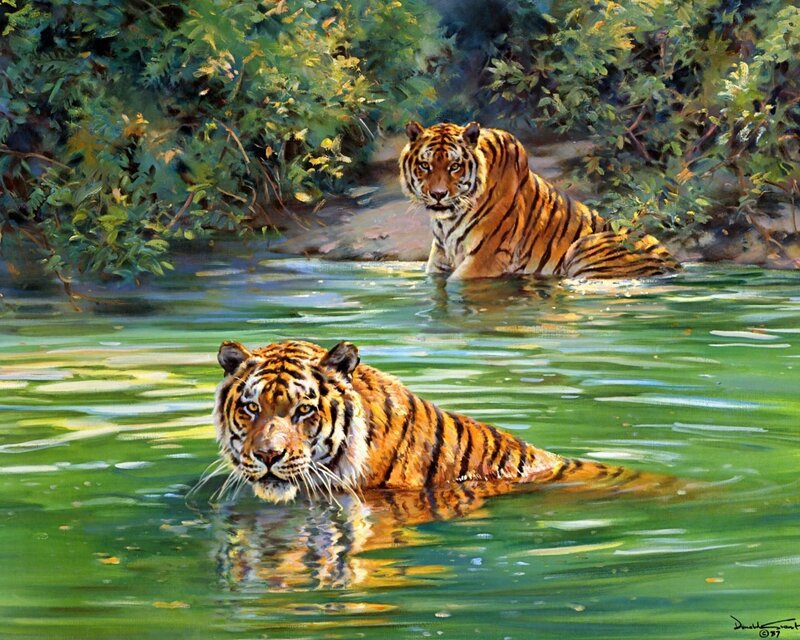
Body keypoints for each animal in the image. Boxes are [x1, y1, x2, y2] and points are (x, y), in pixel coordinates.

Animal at [399, 120, 679, 279]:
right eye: (424, 165)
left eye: (454, 166)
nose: (438, 195)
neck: (447, 221)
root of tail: (675, 264)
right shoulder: (441, 258)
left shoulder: (486, 256)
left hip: (585, 248)